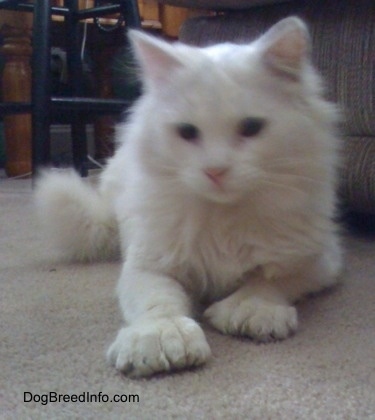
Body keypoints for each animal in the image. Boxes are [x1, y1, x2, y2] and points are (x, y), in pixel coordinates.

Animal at [36, 16, 344, 378]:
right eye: (186, 132)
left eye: (251, 128)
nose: (215, 171)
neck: (224, 219)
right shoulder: (147, 265)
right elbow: (159, 302)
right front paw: (161, 338)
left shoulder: (319, 259)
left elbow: (270, 280)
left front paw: (252, 310)